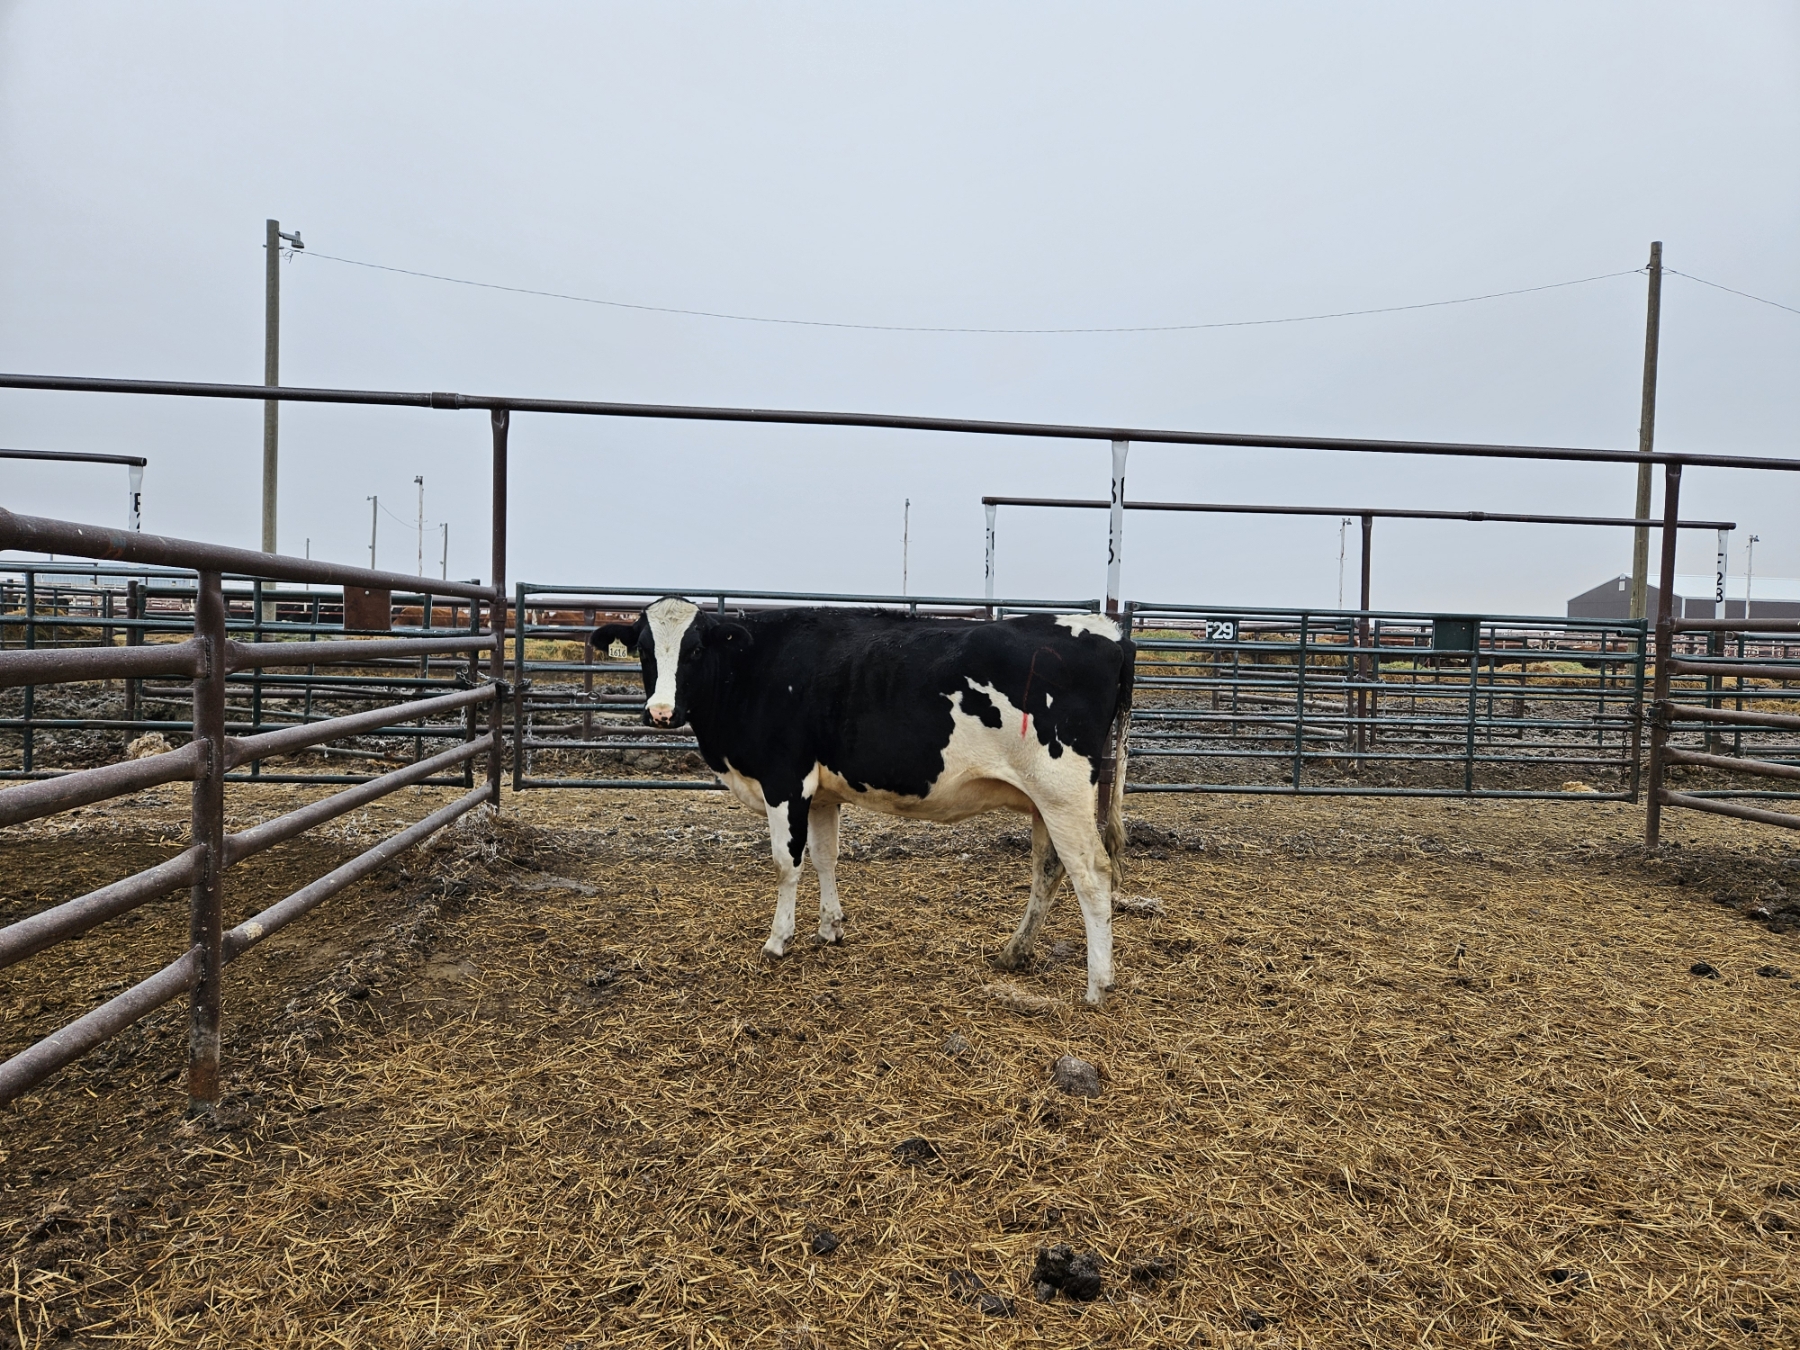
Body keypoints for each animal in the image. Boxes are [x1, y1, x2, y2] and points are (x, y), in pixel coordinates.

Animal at [595, 599, 1134, 1003]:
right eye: (644, 649)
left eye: (695, 649)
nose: (661, 713)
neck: (754, 667)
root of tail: (1108, 631)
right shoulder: (819, 792)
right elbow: (825, 857)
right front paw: (830, 927)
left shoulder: (784, 780)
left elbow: (786, 864)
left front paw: (778, 940)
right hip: (1044, 800)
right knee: (1049, 868)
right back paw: (1014, 953)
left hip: (1061, 790)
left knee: (1092, 873)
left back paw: (1097, 985)